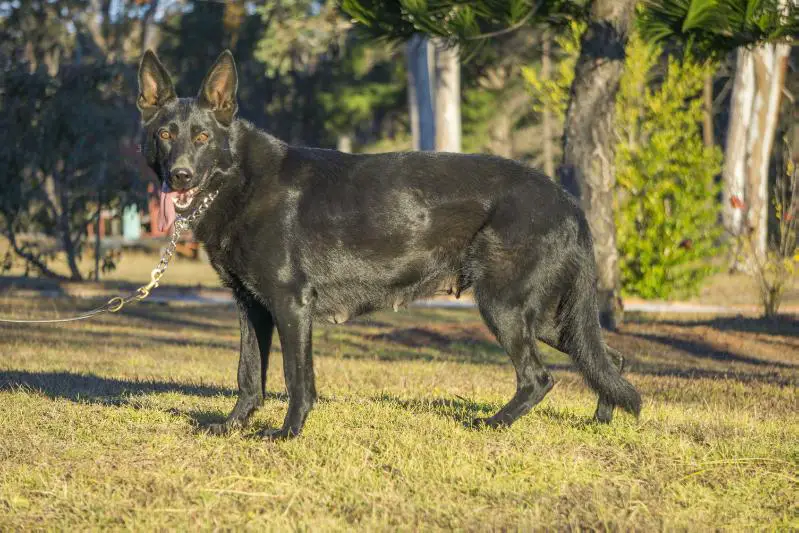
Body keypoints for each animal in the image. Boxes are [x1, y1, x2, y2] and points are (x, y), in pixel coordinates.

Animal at [136, 50, 636, 438]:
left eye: (203, 137)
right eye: (165, 134)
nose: (180, 176)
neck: (238, 179)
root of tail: (568, 201)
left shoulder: (291, 304)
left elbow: (297, 379)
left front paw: (288, 433)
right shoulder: (252, 307)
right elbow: (248, 375)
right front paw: (233, 426)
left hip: (504, 307)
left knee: (538, 377)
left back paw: (493, 424)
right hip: (549, 317)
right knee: (608, 359)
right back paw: (602, 421)